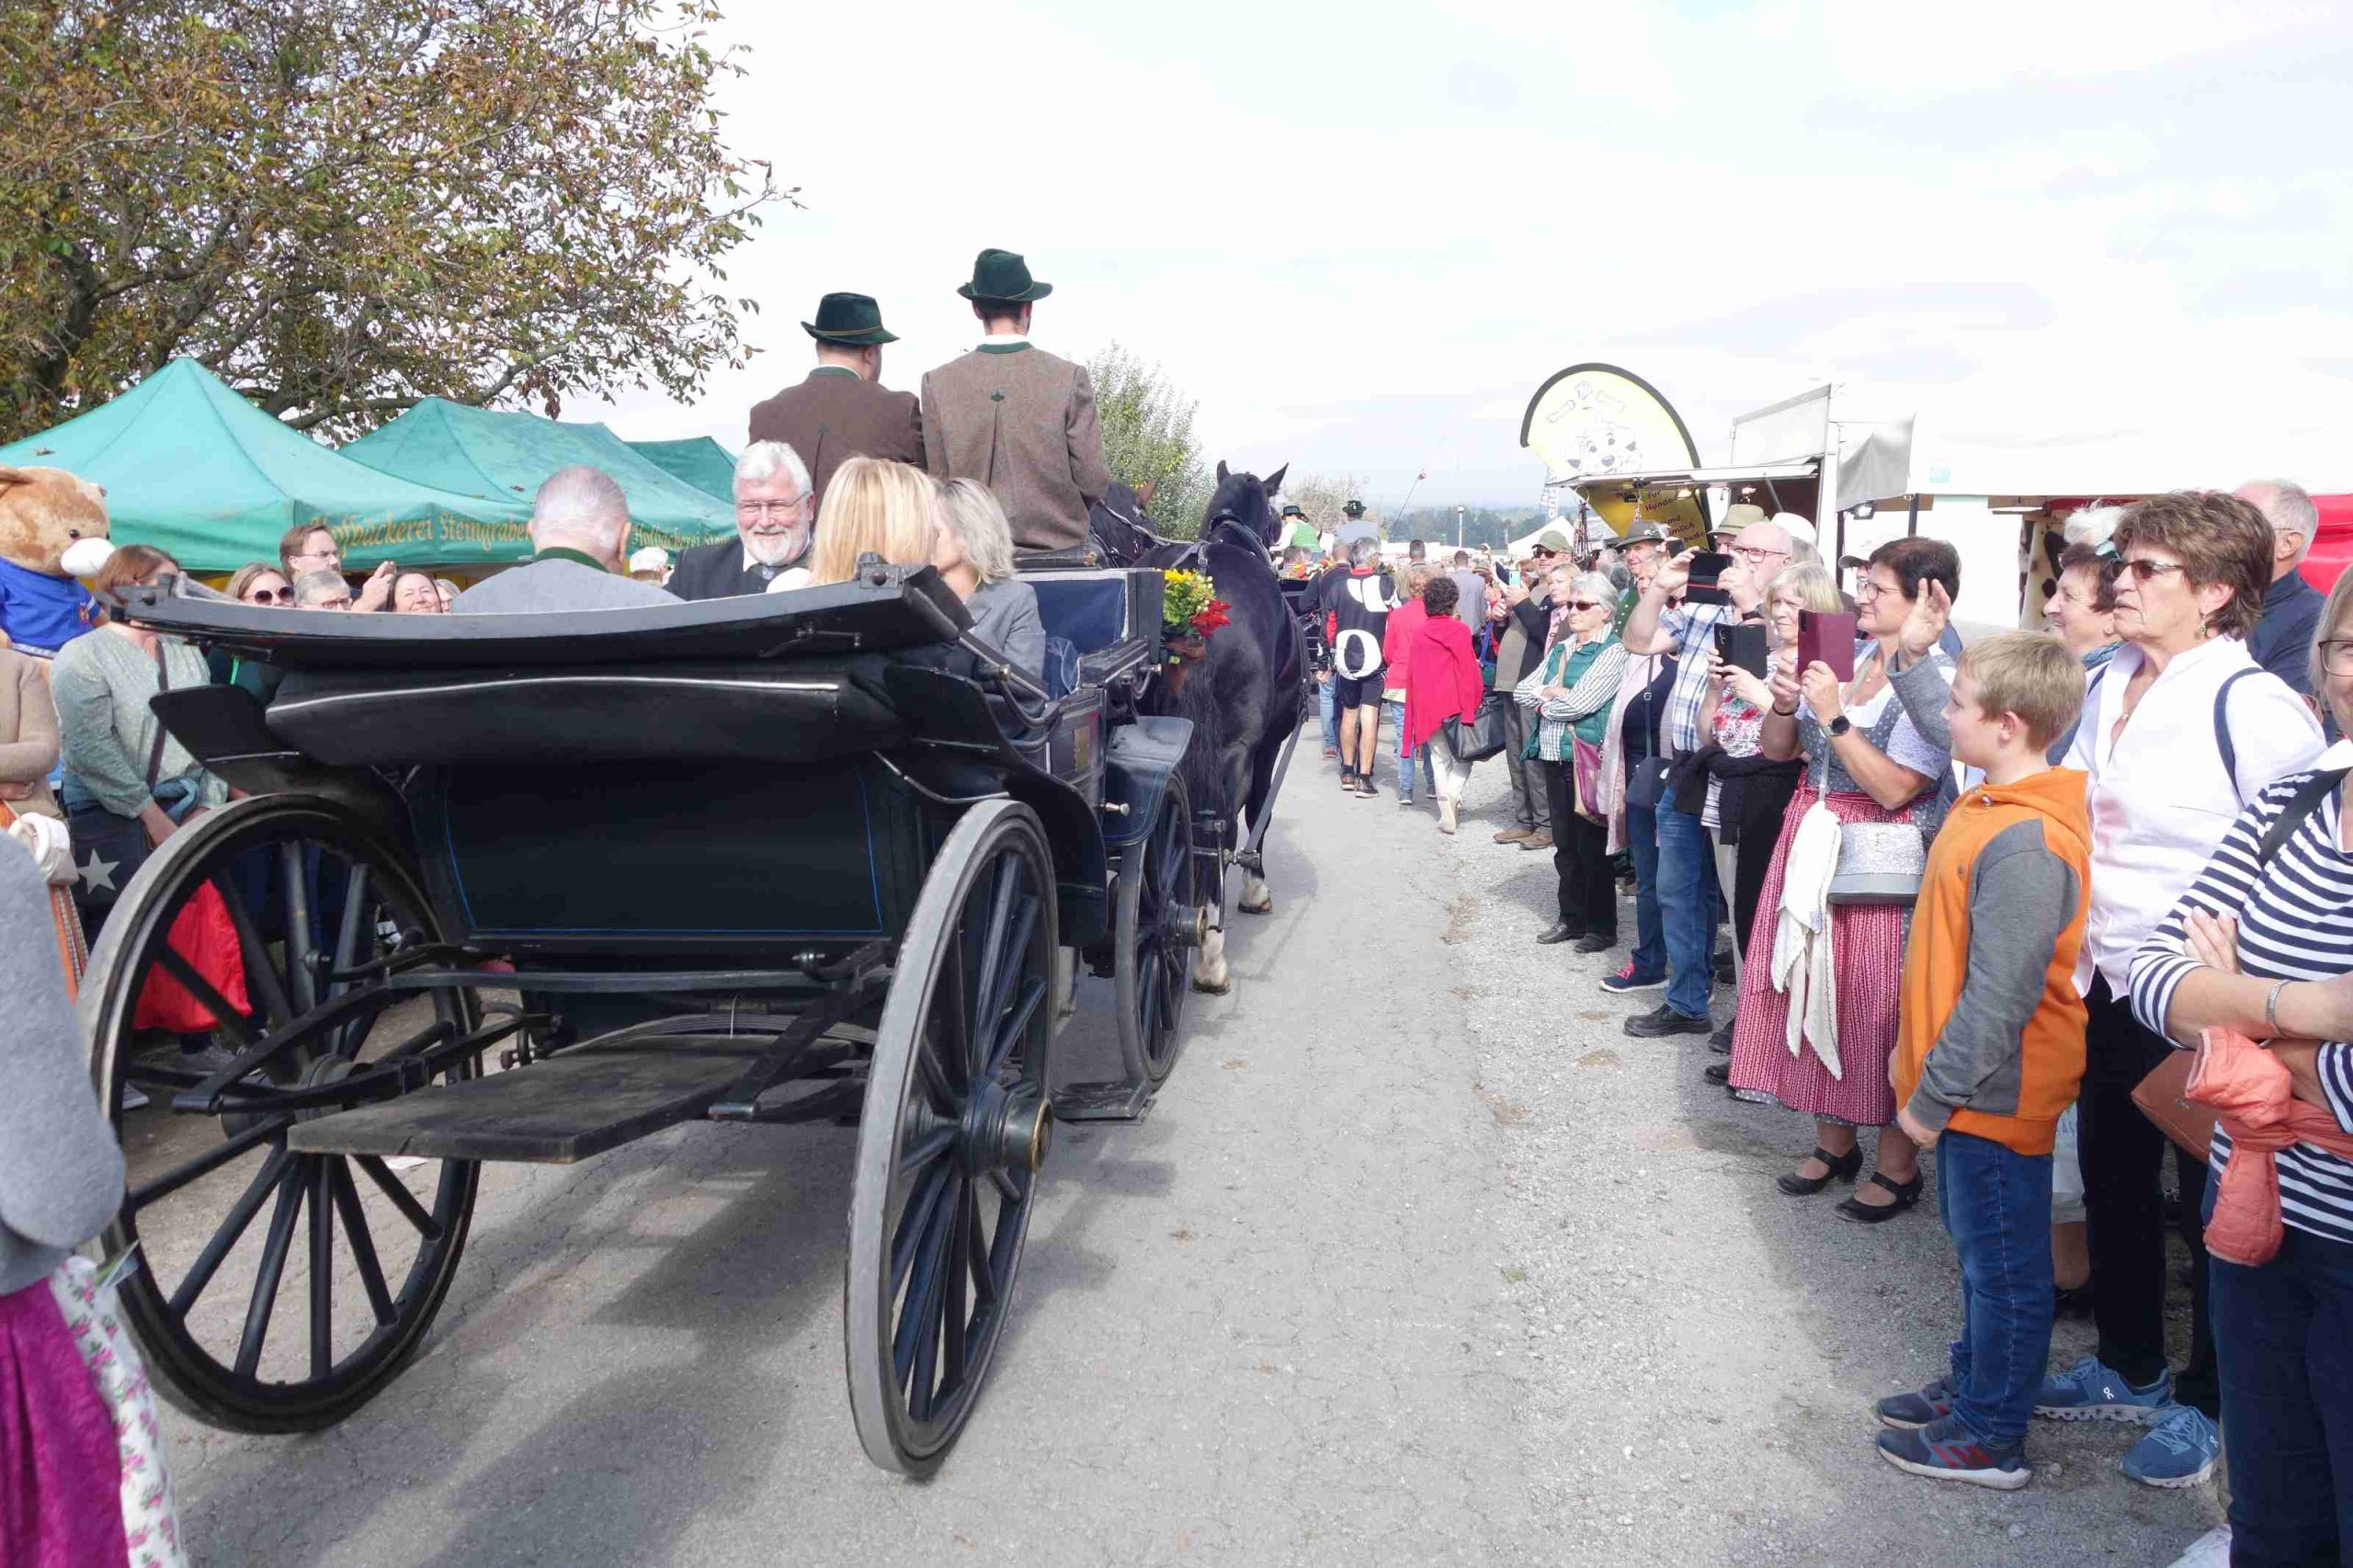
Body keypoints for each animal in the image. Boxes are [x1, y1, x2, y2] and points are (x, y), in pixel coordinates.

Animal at [1135, 462, 1305, 994]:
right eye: (1276, 513)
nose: (1280, 536)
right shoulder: (1264, 746)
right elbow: (1257, 811)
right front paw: (1255, 890)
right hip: (1232, 749)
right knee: (1218, 828)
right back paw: (1209, 951)